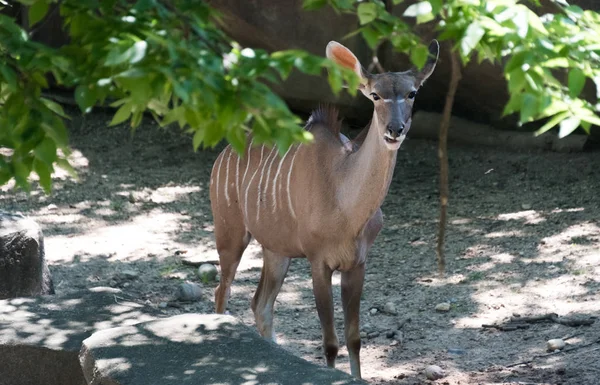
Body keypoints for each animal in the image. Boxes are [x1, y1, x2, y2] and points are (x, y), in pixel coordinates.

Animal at [209, 39, 438, 378]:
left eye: (412, 93)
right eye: (375, 95)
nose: (395, 130)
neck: (345, 206)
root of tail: (222, 155)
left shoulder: (357, 264)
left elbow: (354, 338)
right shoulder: (319, 262)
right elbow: (330, 342)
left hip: (276, 250)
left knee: (260, 304)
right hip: (231, 234)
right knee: (222, 291)